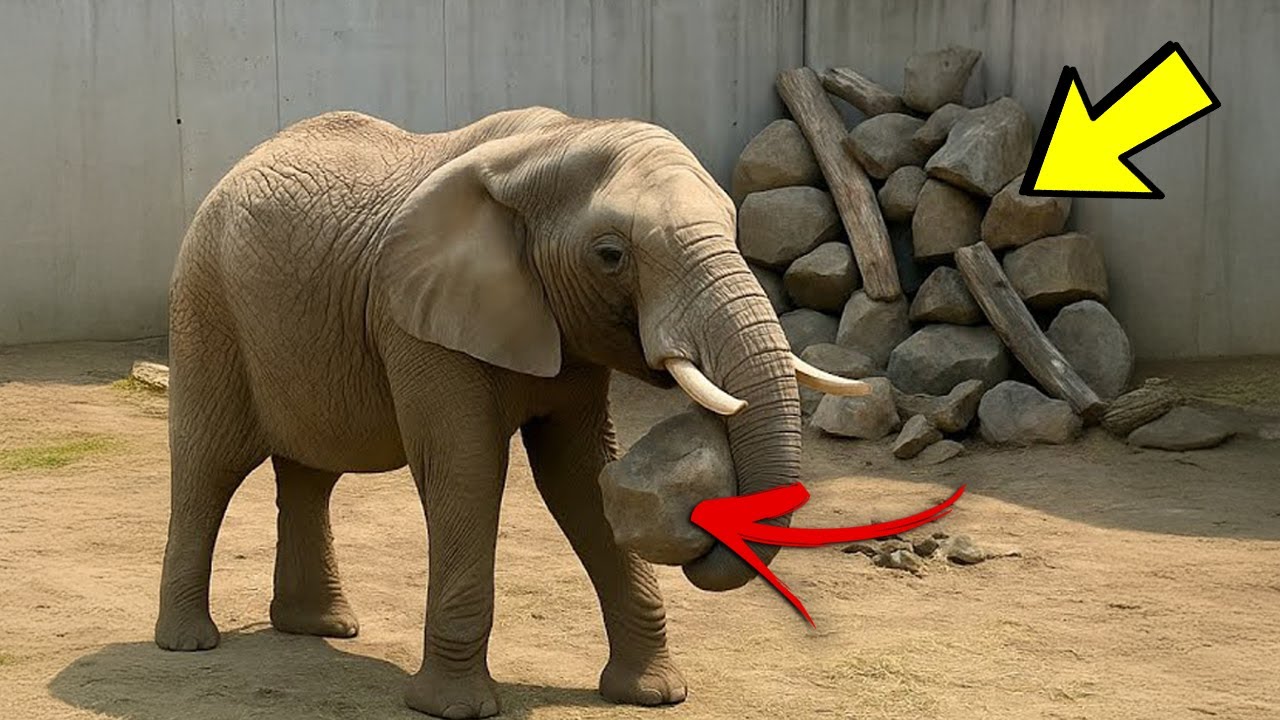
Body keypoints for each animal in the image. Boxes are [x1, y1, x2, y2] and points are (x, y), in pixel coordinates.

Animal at [154, 106, 866, 718]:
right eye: (611, 255)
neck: (551, 145)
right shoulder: (415, 321)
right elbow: (467, 471)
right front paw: (454, 709)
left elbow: (577, 478)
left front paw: (655, 695)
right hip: (206, 303)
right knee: (209, 466)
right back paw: (188, 642)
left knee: (311, 473)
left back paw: (320, 627)